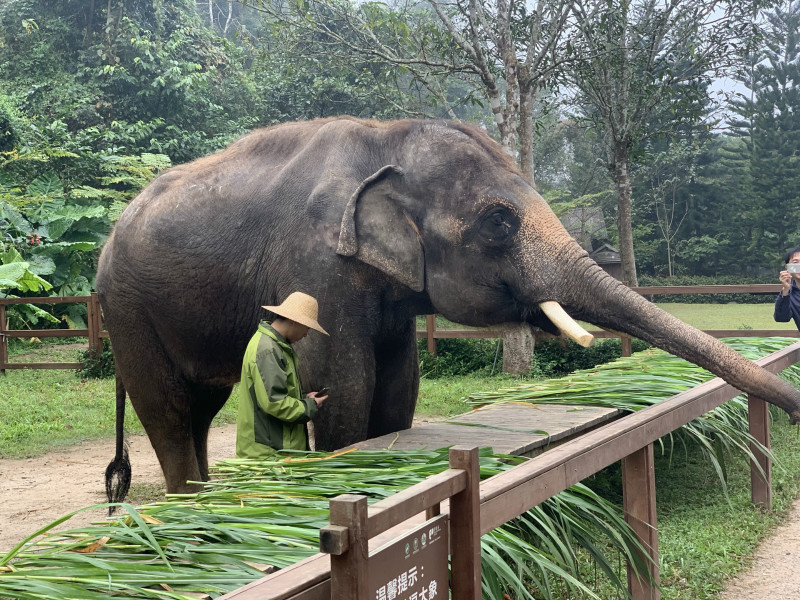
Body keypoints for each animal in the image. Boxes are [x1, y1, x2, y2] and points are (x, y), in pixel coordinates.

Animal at [98, 116, 800, 496]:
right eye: (498, 222)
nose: (794, 409)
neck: (387, 136)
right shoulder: (317, 265)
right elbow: (346, 389)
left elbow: (396, 390)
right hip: (129, 309)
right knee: (167, 408)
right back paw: (188, 505)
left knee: (199, 404)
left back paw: (201, 497)